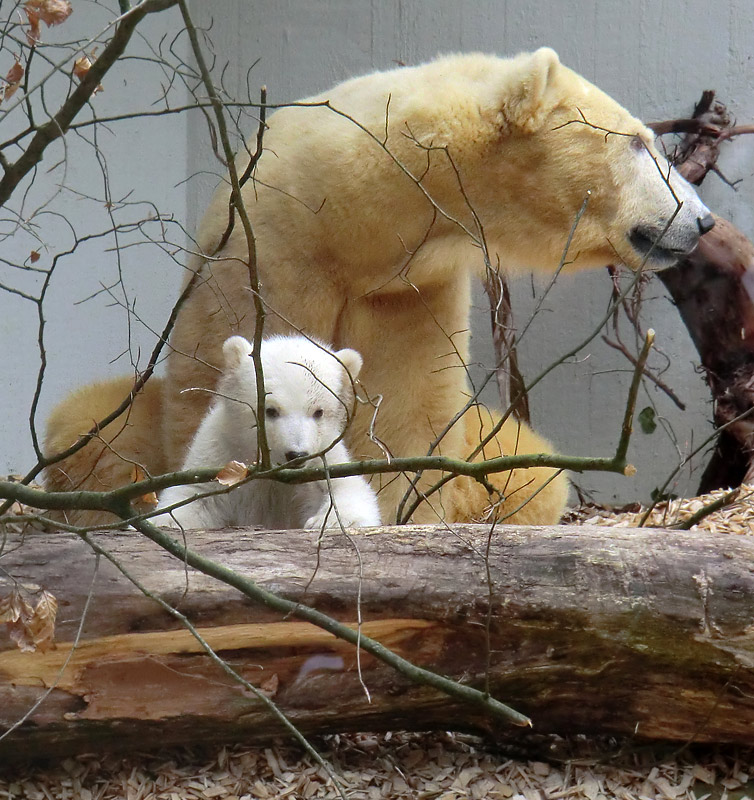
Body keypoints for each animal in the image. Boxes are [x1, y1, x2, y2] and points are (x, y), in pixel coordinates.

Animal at [153, 336, 378, 532]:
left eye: (318, 412)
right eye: (270, 410)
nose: (296, 455)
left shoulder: (322, 456)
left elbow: (346, 487)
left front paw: (332, 521)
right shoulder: (221, 450)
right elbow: (194, 494)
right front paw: (166, 521)